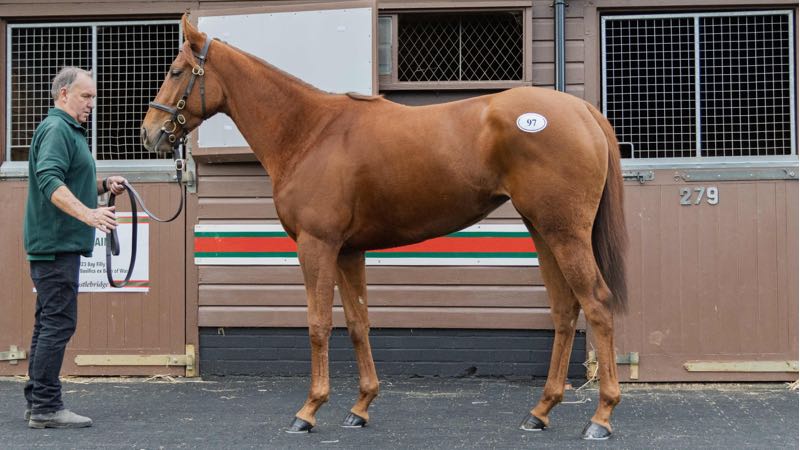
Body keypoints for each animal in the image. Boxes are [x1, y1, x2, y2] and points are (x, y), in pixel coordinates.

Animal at [141, 14, 628, 440]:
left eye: (176, 70)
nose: (149, 133)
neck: (310, 131)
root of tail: (583, 110)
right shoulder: (347, 251)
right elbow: (359, 323)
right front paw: (360, 407)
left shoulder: (317, 246)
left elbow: (318, 323)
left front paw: (309, 410)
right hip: (543, 231)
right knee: (565, 311)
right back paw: (540, 411)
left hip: (565, 234)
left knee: (597, 304)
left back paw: (601, 417)